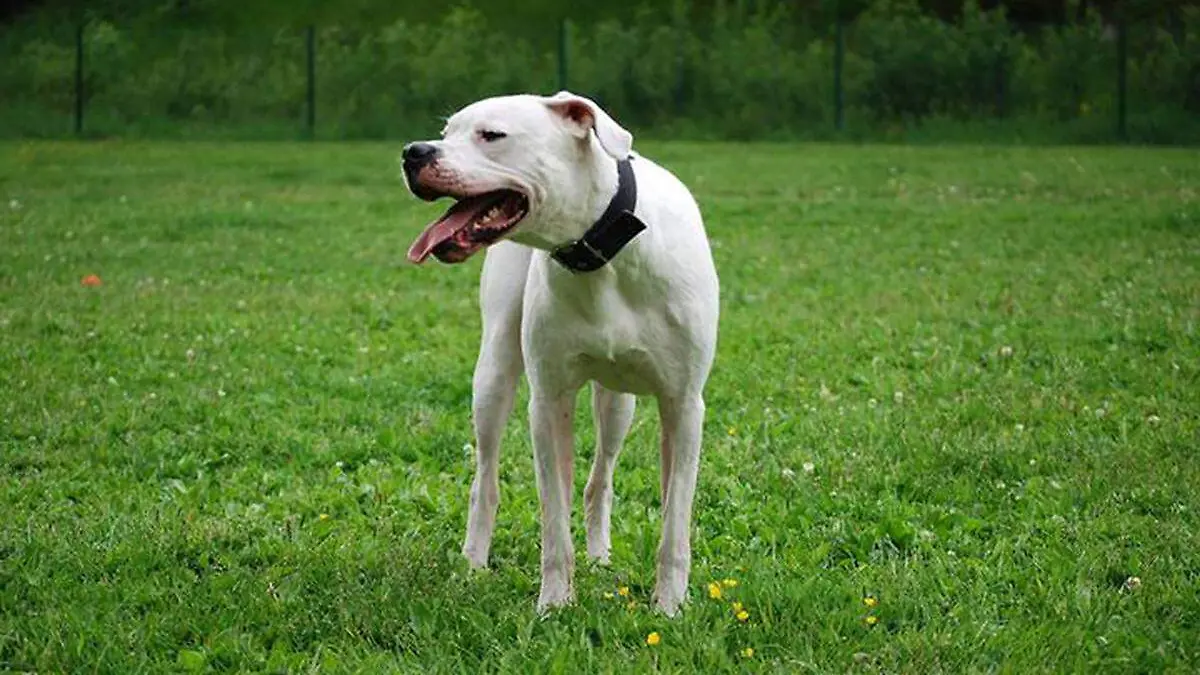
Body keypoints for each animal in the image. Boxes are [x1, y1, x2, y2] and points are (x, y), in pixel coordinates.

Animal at [403, 90, 720, 614]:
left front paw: (670, 607)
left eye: (492, 135)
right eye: (447, 132)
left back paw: (600, 557)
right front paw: (554, 603)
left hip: (619, 405)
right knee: (486, 481)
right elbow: (553, 519)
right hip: (493, 375)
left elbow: (674, 522)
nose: (414, 152)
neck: (601, 252)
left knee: (599, 481)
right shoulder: (548, 403)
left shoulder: (683, 405)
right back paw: (473, 563)